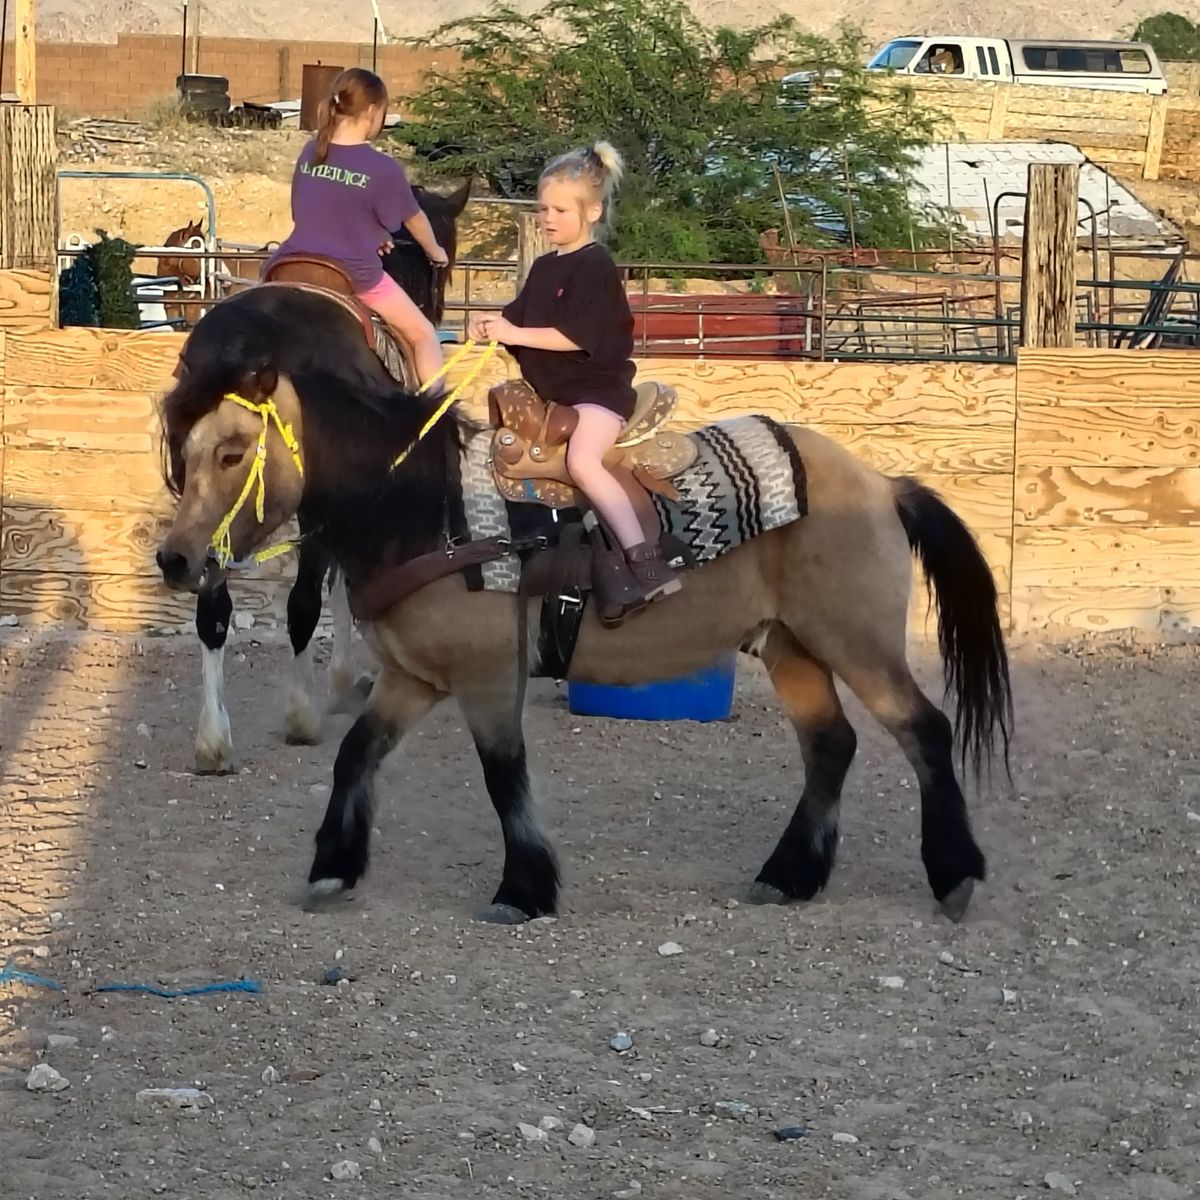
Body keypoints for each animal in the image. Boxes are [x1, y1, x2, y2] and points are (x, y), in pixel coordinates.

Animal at [153, 283, 1013, 925]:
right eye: (181, 452)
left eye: (232, 451)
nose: (177, 559)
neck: (429, 511)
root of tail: (881, 482)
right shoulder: (414, 677)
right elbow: (355, 754)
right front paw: (333, 867)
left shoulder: (486, 676)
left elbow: (504, 775)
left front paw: (524, 888)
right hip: (790, 644)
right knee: (830, 746)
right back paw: (790, 874)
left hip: (856, 641)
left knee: (923, 731)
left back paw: (953, 874)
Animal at [172, 180, 471, 773]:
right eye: (443, 264)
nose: (438, 305)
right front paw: (341, 683)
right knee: (300, 604)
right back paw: (301, 716)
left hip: (204, 507)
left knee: (211, 602)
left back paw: (213, 739)